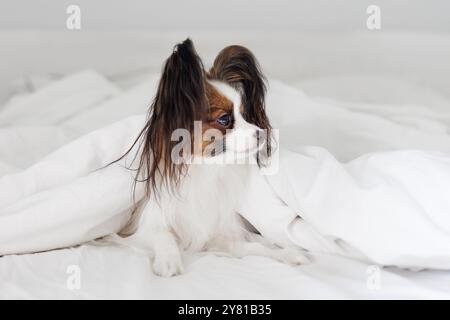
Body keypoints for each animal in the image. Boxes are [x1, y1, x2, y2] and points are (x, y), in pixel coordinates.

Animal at [114, 38, 308, 276]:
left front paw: (287, 254)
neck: (205, 169)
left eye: (245, 114)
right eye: (224, 119)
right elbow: (163, 236)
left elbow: (253, 247)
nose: (261, 133)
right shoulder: (143, 226)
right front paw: (169, 261)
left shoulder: (219, 232)